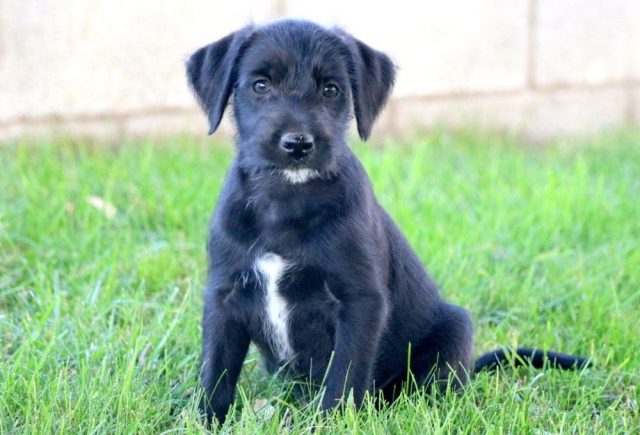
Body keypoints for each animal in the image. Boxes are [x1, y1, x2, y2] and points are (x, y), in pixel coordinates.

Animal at [186, 18, 592, 424]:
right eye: (260, 85)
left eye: (331, 89)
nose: (298, 144)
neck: (286, 200)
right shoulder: (224, 296)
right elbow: (217, 370)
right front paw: (207, 420)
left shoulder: (360, 301)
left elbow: (345, 374)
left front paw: (332, 423)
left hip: (454, 329)